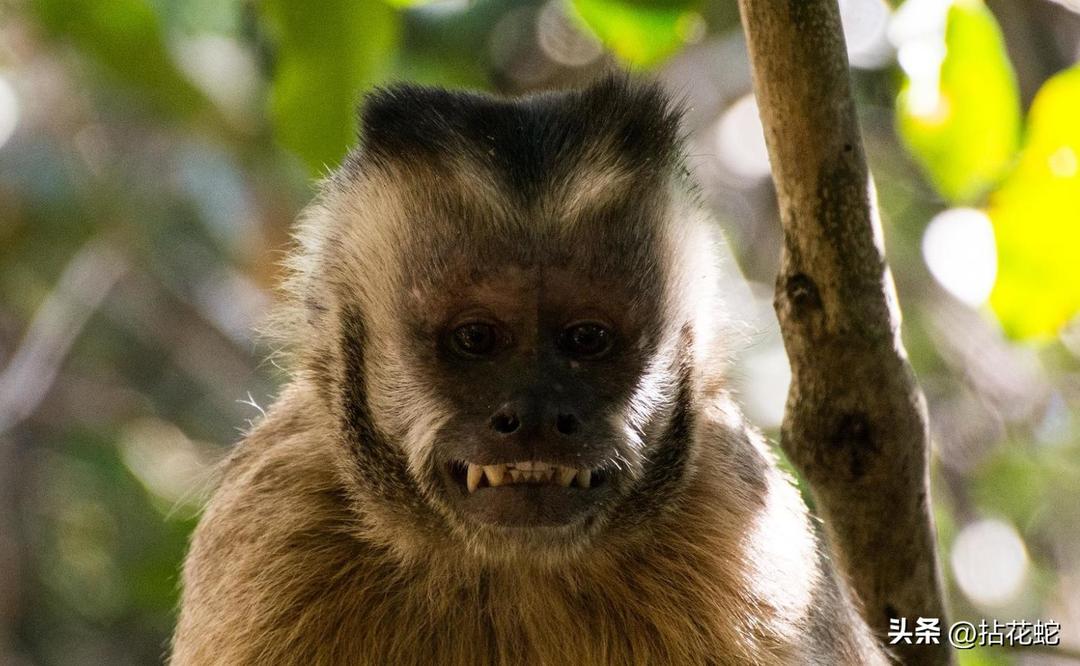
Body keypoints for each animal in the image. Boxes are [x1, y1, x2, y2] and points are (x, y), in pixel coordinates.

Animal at [170, 76, 890, 665]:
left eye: (586, 339)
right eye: (476, 338)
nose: (537, 416)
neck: (511, 569)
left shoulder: (747, 535)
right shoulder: (273, 517)